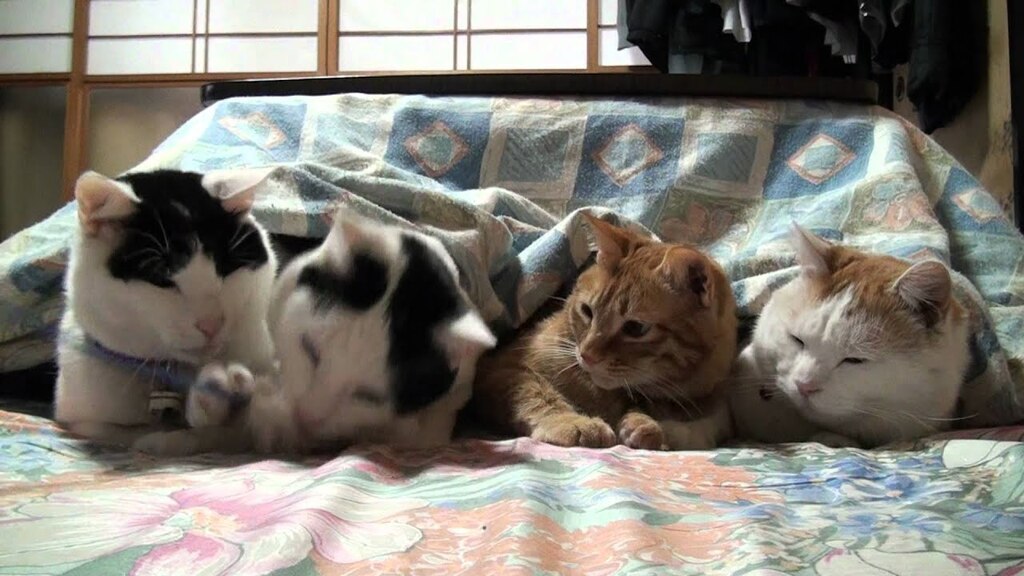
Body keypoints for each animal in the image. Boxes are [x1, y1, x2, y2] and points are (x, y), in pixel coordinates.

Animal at [469, 213, 737, 450]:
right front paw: (572, 422)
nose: (586, 355)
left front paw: (644, 425)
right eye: (587, 311)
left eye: (636, 328)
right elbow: (536, 393)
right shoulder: (501, 369)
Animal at [663, 224, 971, 450]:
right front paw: (675, 433)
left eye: (855, 360)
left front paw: (831, 439)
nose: (804, 385)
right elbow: (713, 415)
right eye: (796, 339)